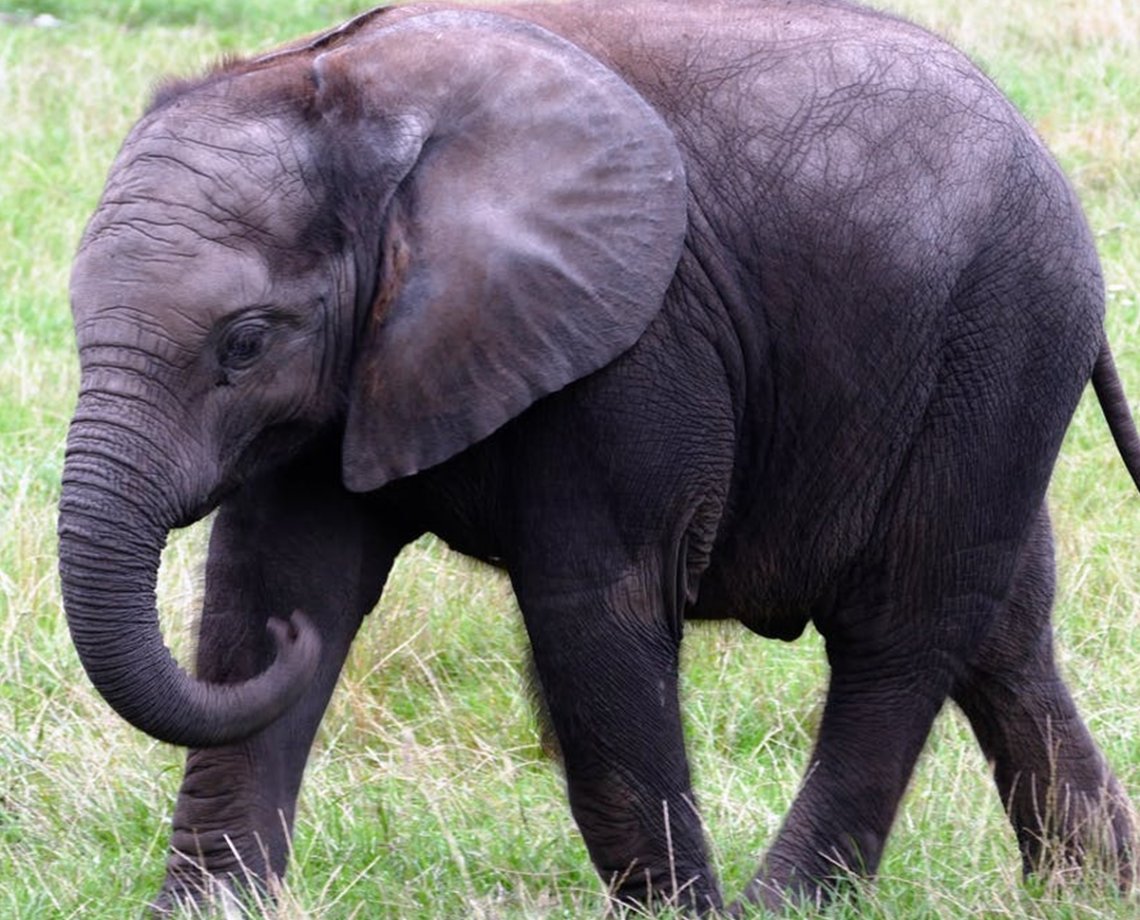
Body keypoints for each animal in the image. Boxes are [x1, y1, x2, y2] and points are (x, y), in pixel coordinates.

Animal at [57, 0, 1140, 913]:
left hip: (999, 338)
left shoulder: (635, 344)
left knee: (901, 630)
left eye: (244, 343)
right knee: (1004, 628)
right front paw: (206, 905)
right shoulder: (354, 370)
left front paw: (682, 915)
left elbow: (594, 608)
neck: (350, 100)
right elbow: (276, 578)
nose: (296, 645)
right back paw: (1088, 887)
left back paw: (782, 903)